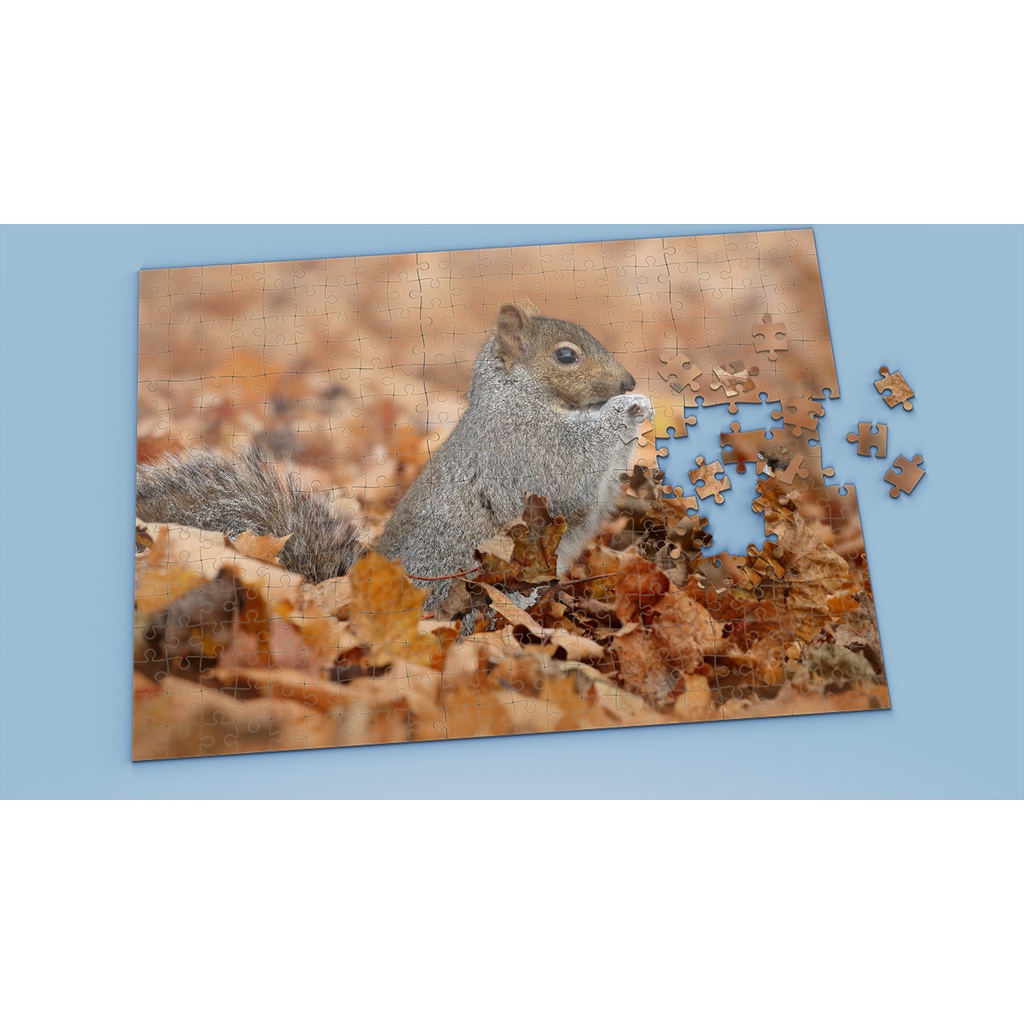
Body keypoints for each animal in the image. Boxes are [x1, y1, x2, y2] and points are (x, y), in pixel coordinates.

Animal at [136, 303, 654, 611]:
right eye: (566, 356)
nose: (628, 381)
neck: (519, 397)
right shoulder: (527, 447)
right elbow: (572, 474)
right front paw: (628, 408)